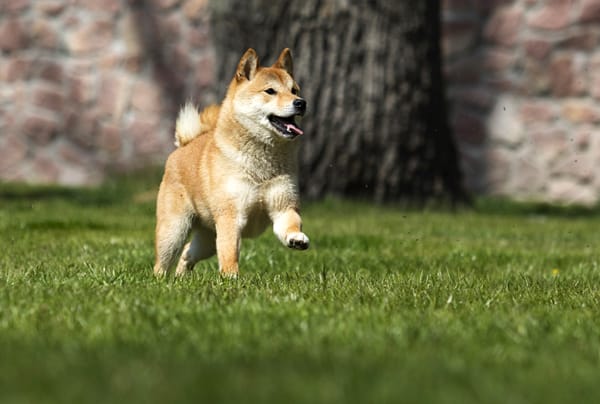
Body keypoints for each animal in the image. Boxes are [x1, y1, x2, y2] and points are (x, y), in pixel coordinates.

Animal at [155, 48, 310, 278]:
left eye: (294, 90)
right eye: (270, 91)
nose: (301, 102)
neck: (261, 164)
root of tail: (184, 145)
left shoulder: (283, 206)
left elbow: (291, 224)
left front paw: (296, 238)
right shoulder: (230, 217)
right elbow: (229, 252)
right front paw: (231, 277)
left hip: (207, 239)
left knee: (187, 252)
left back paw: (181, 276)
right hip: (174, 230)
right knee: (164, 260)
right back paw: (160, 279)